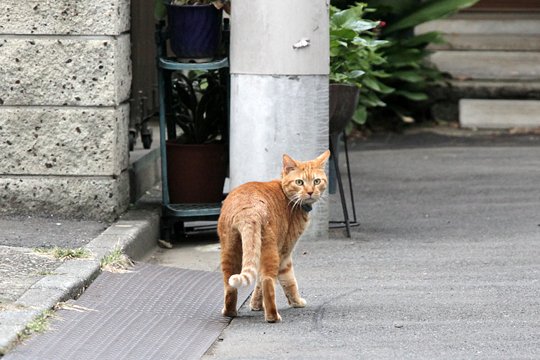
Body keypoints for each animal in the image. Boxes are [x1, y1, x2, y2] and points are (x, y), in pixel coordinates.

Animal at [218, 150, 330, 322]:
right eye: (299, 182)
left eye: (316, 181)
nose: (310, 192)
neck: (288, 198)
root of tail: (247, 209)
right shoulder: (285, 254)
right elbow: (289, 282)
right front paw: (297, 302)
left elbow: (257, 283)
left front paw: (255, 305)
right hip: (270, 251)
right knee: (268, 281)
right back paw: (273, 316)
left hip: (229, 250)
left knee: (230, 284)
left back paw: (229, 312)